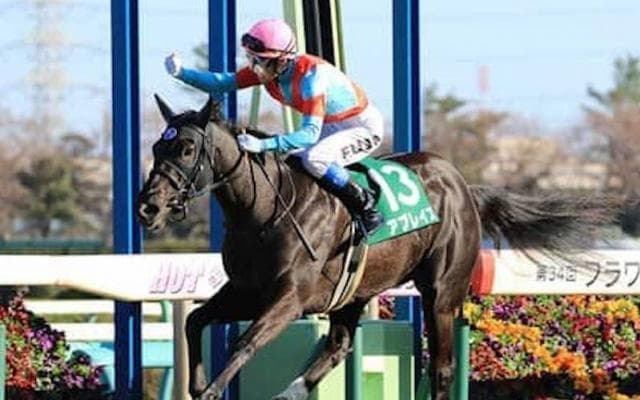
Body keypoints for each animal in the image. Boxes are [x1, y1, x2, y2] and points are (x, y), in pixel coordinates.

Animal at [136, 96, 619, 400]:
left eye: (186, 147)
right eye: (157, 145)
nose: (148, 206)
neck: (264, 210)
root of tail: (464, 186)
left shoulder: (289, 298)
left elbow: (245, 342)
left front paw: (210, 389)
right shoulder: (246, 291)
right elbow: (195, 319)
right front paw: (197, 384)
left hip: (441, 293)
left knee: (440, 366)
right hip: (355, 293)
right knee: (338, 346)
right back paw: (290, 393)